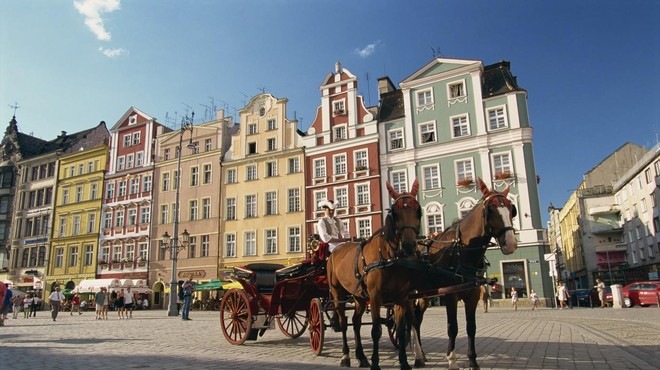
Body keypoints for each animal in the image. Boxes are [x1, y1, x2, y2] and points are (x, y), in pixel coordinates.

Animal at [328, 178, 426, 368]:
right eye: (395, 213)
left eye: (418, 211)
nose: (409, 246)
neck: (390, 258)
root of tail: (336, 250)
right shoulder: (375, 298)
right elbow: (375, 330)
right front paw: (375, 363)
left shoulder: (401, 298)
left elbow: (400, 330)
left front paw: (404, 362)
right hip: (338, 294)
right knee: (343, 323)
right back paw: (346, 356)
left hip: (358, 297)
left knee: (356, 322)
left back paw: (361, 356)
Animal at [416, 177, 520, 370]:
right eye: (490, 210)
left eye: (511, 209)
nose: (510, 244)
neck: (461, 250)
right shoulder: (450, 296)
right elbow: (452, 327)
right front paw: (452, 360)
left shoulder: (472, 295)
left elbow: (471, 327)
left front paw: (473, 361)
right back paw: (418, 355)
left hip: (425, 296)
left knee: (416, 319)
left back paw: (421, 354)